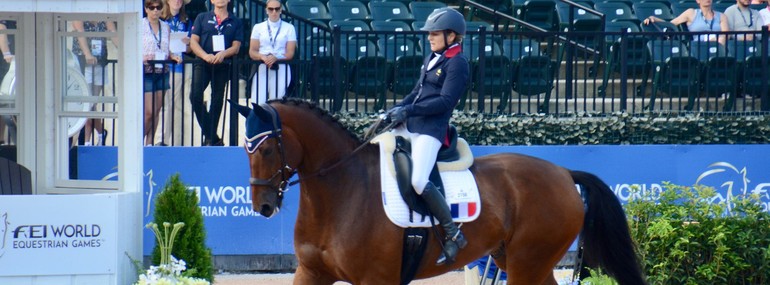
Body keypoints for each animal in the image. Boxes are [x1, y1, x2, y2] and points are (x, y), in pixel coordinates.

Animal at [232, 98, 640, 284]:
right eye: (245, 148)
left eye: (266, 150)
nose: (263, 205)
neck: (339, 192)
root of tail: (564, 173)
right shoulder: (311, 272)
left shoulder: (376, 279)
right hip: (519, 260)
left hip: (528, 261)